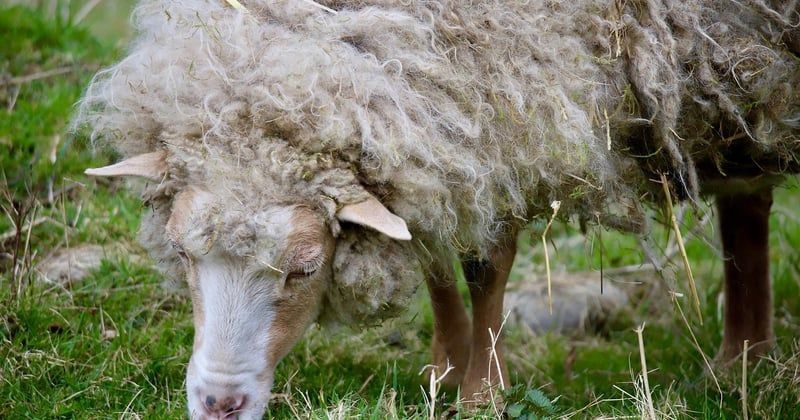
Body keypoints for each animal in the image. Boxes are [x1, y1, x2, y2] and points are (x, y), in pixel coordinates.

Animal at [73, 0, 799, 417]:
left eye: (304, 270)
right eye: (184, 255)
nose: (219, 403)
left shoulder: (504, 108)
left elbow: (485, 266)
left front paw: (482, 393)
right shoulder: (435, 140)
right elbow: (430, 258)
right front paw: (444, 369)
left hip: (742, 69)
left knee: (747, 200)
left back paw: (743, 361)